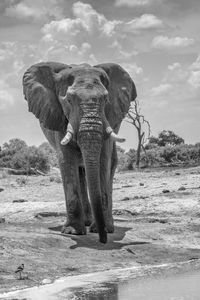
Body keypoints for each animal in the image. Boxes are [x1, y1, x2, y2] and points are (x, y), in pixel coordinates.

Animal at [22, 62, 137, 243]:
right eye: (68, 100)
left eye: (106, 100)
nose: (103, 240)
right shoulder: (60, 117)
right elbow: (66, 160)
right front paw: (72, 232)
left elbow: (103, 161)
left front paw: (102, 229)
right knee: (80, 170)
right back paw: (87, 222)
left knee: (109, 166)